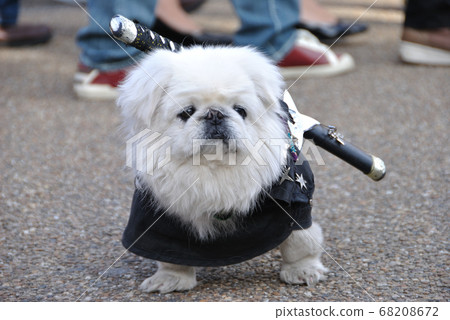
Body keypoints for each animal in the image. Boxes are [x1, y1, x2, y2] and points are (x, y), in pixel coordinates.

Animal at [116, 45, 326, 292]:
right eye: (186, 112)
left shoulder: (295, 201)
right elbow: (167, 254)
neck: (214, 168)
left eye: (240, 110)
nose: (214, 114)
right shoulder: (155, 215)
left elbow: (300, 243)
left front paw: (303, 271)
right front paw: (171, 279)